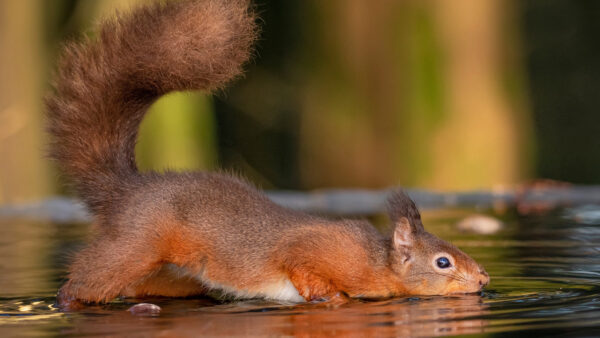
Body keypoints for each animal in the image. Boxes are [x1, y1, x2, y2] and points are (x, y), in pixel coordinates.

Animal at [45, 0, 488, 308]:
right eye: (443, 262)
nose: (484, 279)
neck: (377, 263)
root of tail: (128, 190)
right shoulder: (318, 248)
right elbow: (298, 261)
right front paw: (329, 296)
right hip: (135, 246)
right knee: (81, 282)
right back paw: (66, 302)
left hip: (168, 276)